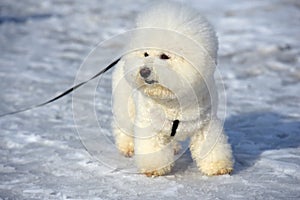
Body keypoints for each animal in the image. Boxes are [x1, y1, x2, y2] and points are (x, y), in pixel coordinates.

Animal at [111, 2, 233, 176]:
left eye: (164, 56)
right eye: (146, 53)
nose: (143, 71)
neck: (172, 98)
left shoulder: (206, 122)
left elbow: (210, 144)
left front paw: (218, 167)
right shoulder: (150, 125)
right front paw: (153, 169)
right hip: (125, 103)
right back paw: (127, 147)